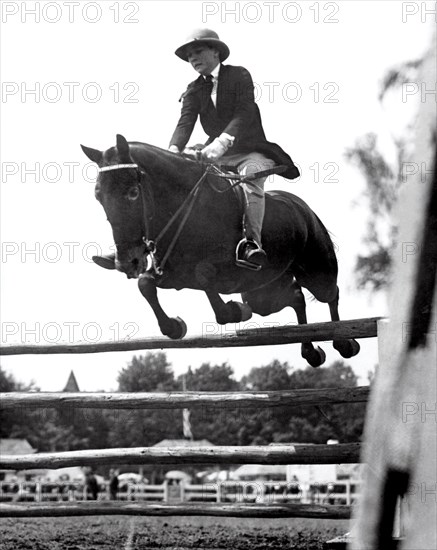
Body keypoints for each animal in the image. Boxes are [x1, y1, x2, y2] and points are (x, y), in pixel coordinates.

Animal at [81, 134, 358, 368]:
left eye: (133, 193)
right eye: (98, 196)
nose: (128, 262)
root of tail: (302, 208)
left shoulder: (224, 271)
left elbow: (204, 275)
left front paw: (233, 310)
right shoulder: (173, 275)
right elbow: (146, 284)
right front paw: (174, 326)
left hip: (317, 273)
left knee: (330, 294)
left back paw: (344, 342)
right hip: (263, 294)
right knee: (296, 297)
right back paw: (311, 352)